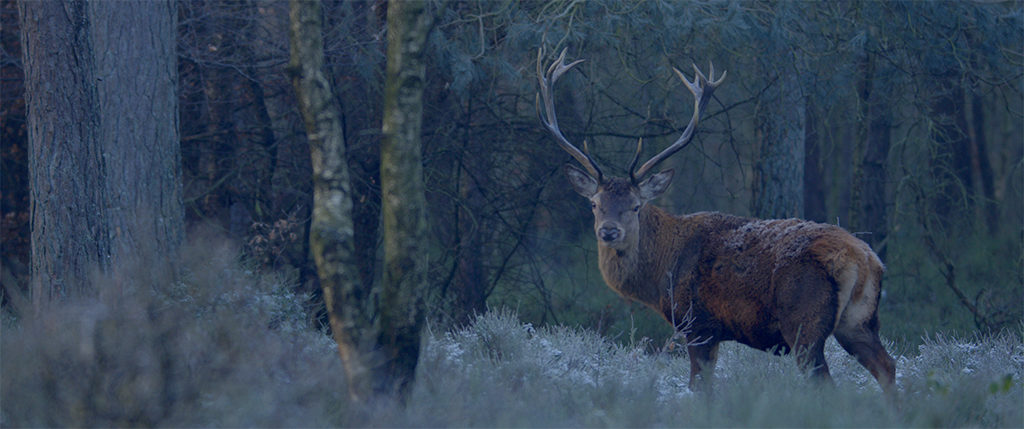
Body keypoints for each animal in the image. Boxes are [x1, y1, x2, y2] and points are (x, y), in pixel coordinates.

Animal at [540, 48, 892, 395]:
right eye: (594, 204)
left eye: (636, 206)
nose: (609, 231)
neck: (662, 273)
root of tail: (865, 259)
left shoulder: (698, 323)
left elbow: (700, 387)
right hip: (859, 321)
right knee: (887, 366)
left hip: (804, 320)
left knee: (826, 382)